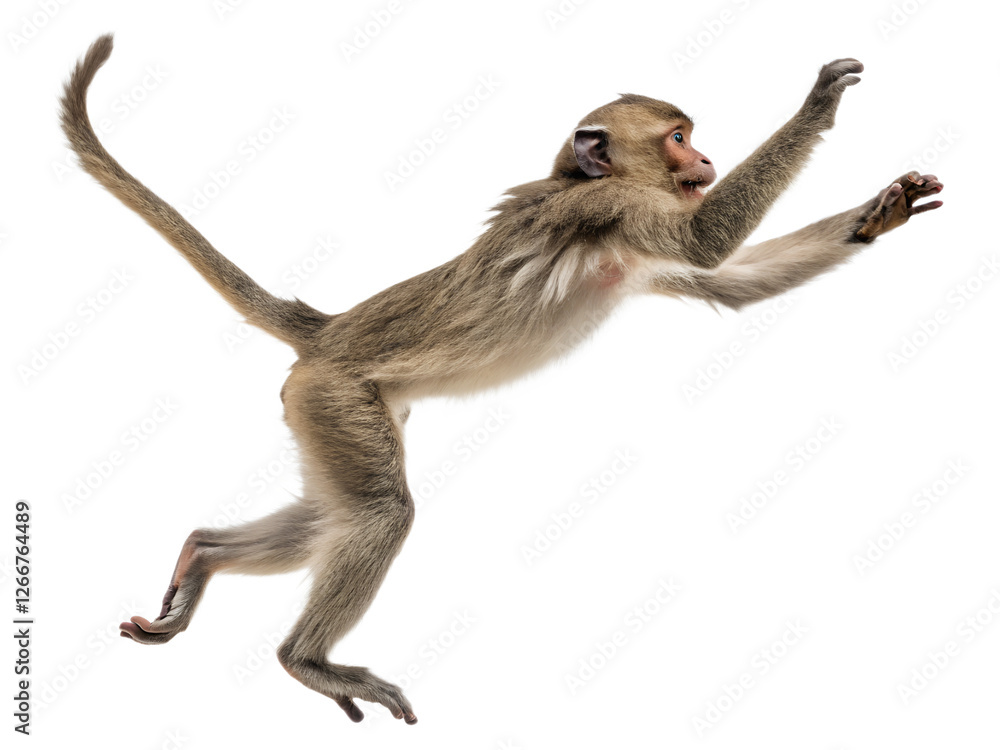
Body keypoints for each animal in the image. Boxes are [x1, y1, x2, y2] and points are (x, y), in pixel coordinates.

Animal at [59, 34, 943, 725]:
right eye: (677, 135)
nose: (704, 158)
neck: (585, 184)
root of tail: (331, 328)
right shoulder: (611, 208)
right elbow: (705, 243)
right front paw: (818, 103)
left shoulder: (628, 243)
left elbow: (727, 283)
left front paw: (883, 209)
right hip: (336, 393)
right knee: (379, 512)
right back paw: (304, 658)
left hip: (329, 404)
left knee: (329, 517)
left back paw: (205, 555)